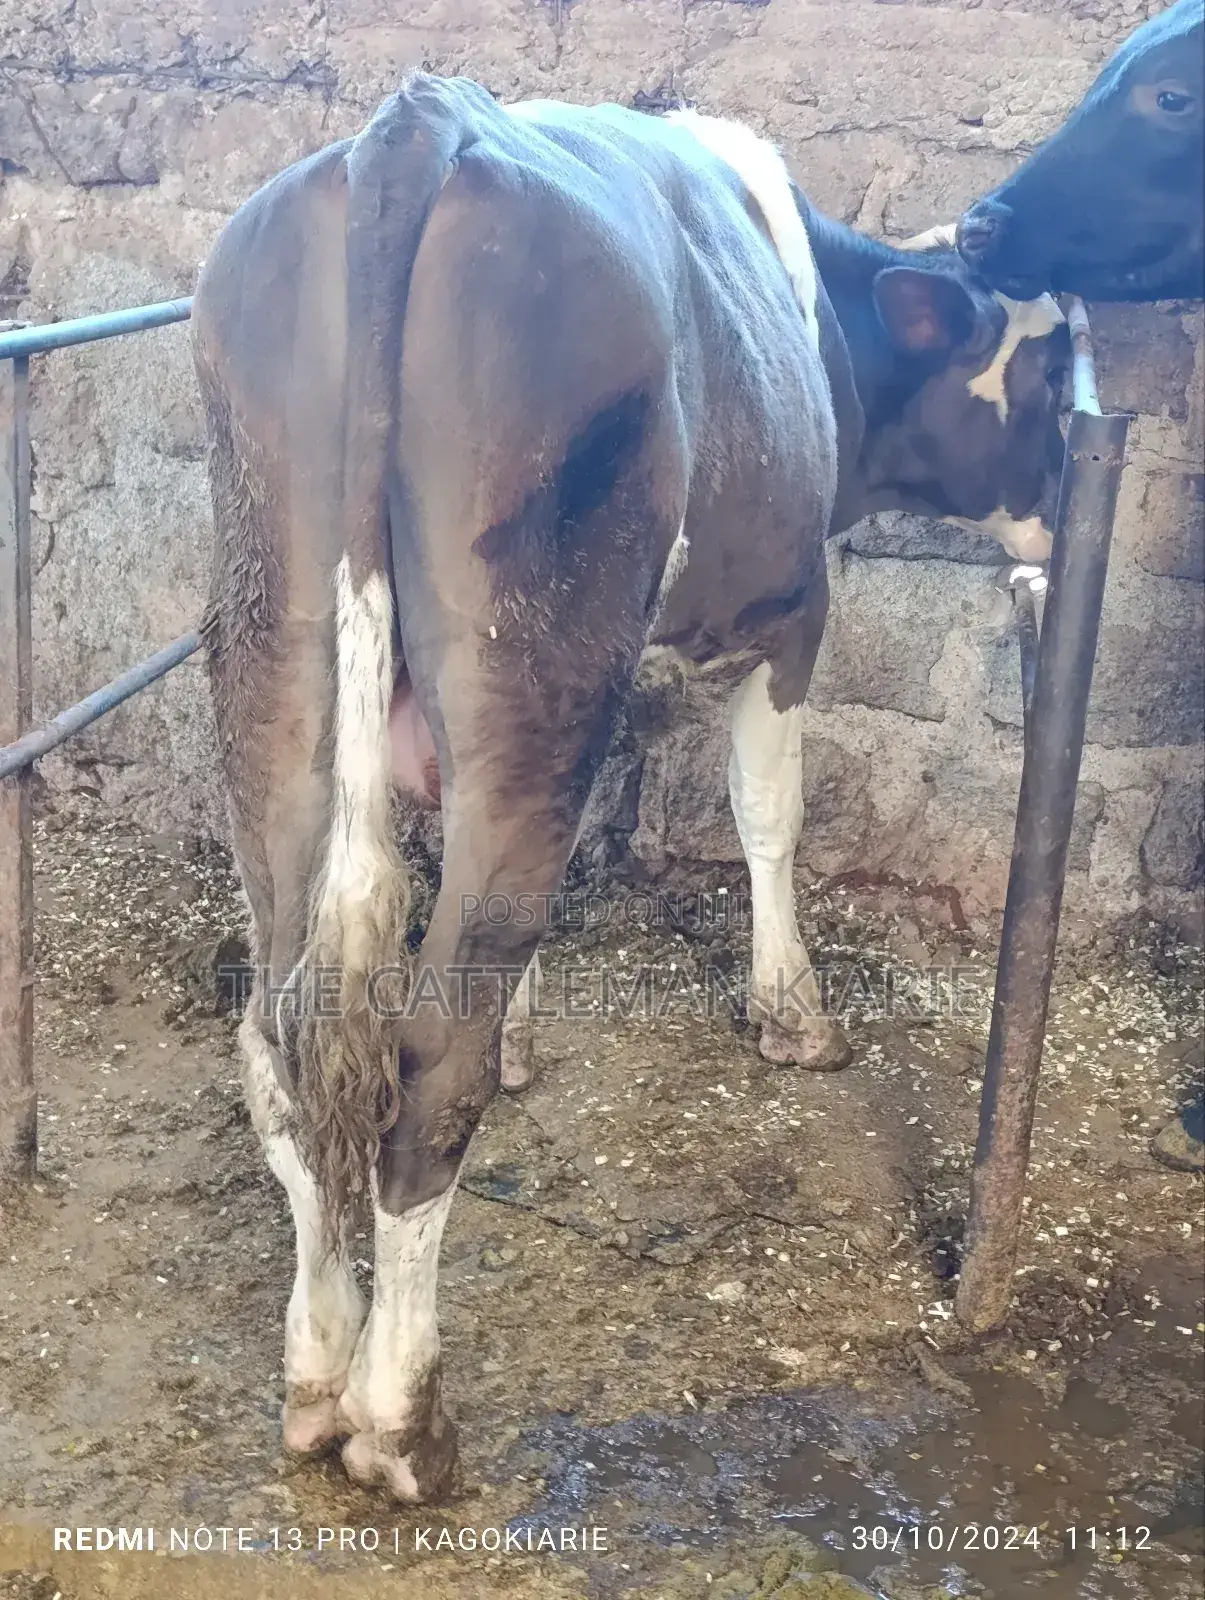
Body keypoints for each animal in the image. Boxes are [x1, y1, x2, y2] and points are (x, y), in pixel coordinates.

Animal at [191, 74, 1070, 1503]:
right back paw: (398, 1419)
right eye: (1046, 378)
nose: (1060, 504)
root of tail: (413, 124)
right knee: (424, 1063)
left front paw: (531, 1026)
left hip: (281, 669)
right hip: (528, 645)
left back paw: (317, 1377)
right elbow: (769, 813)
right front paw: (792, 1013)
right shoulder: (788, 613)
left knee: (286, 1034)